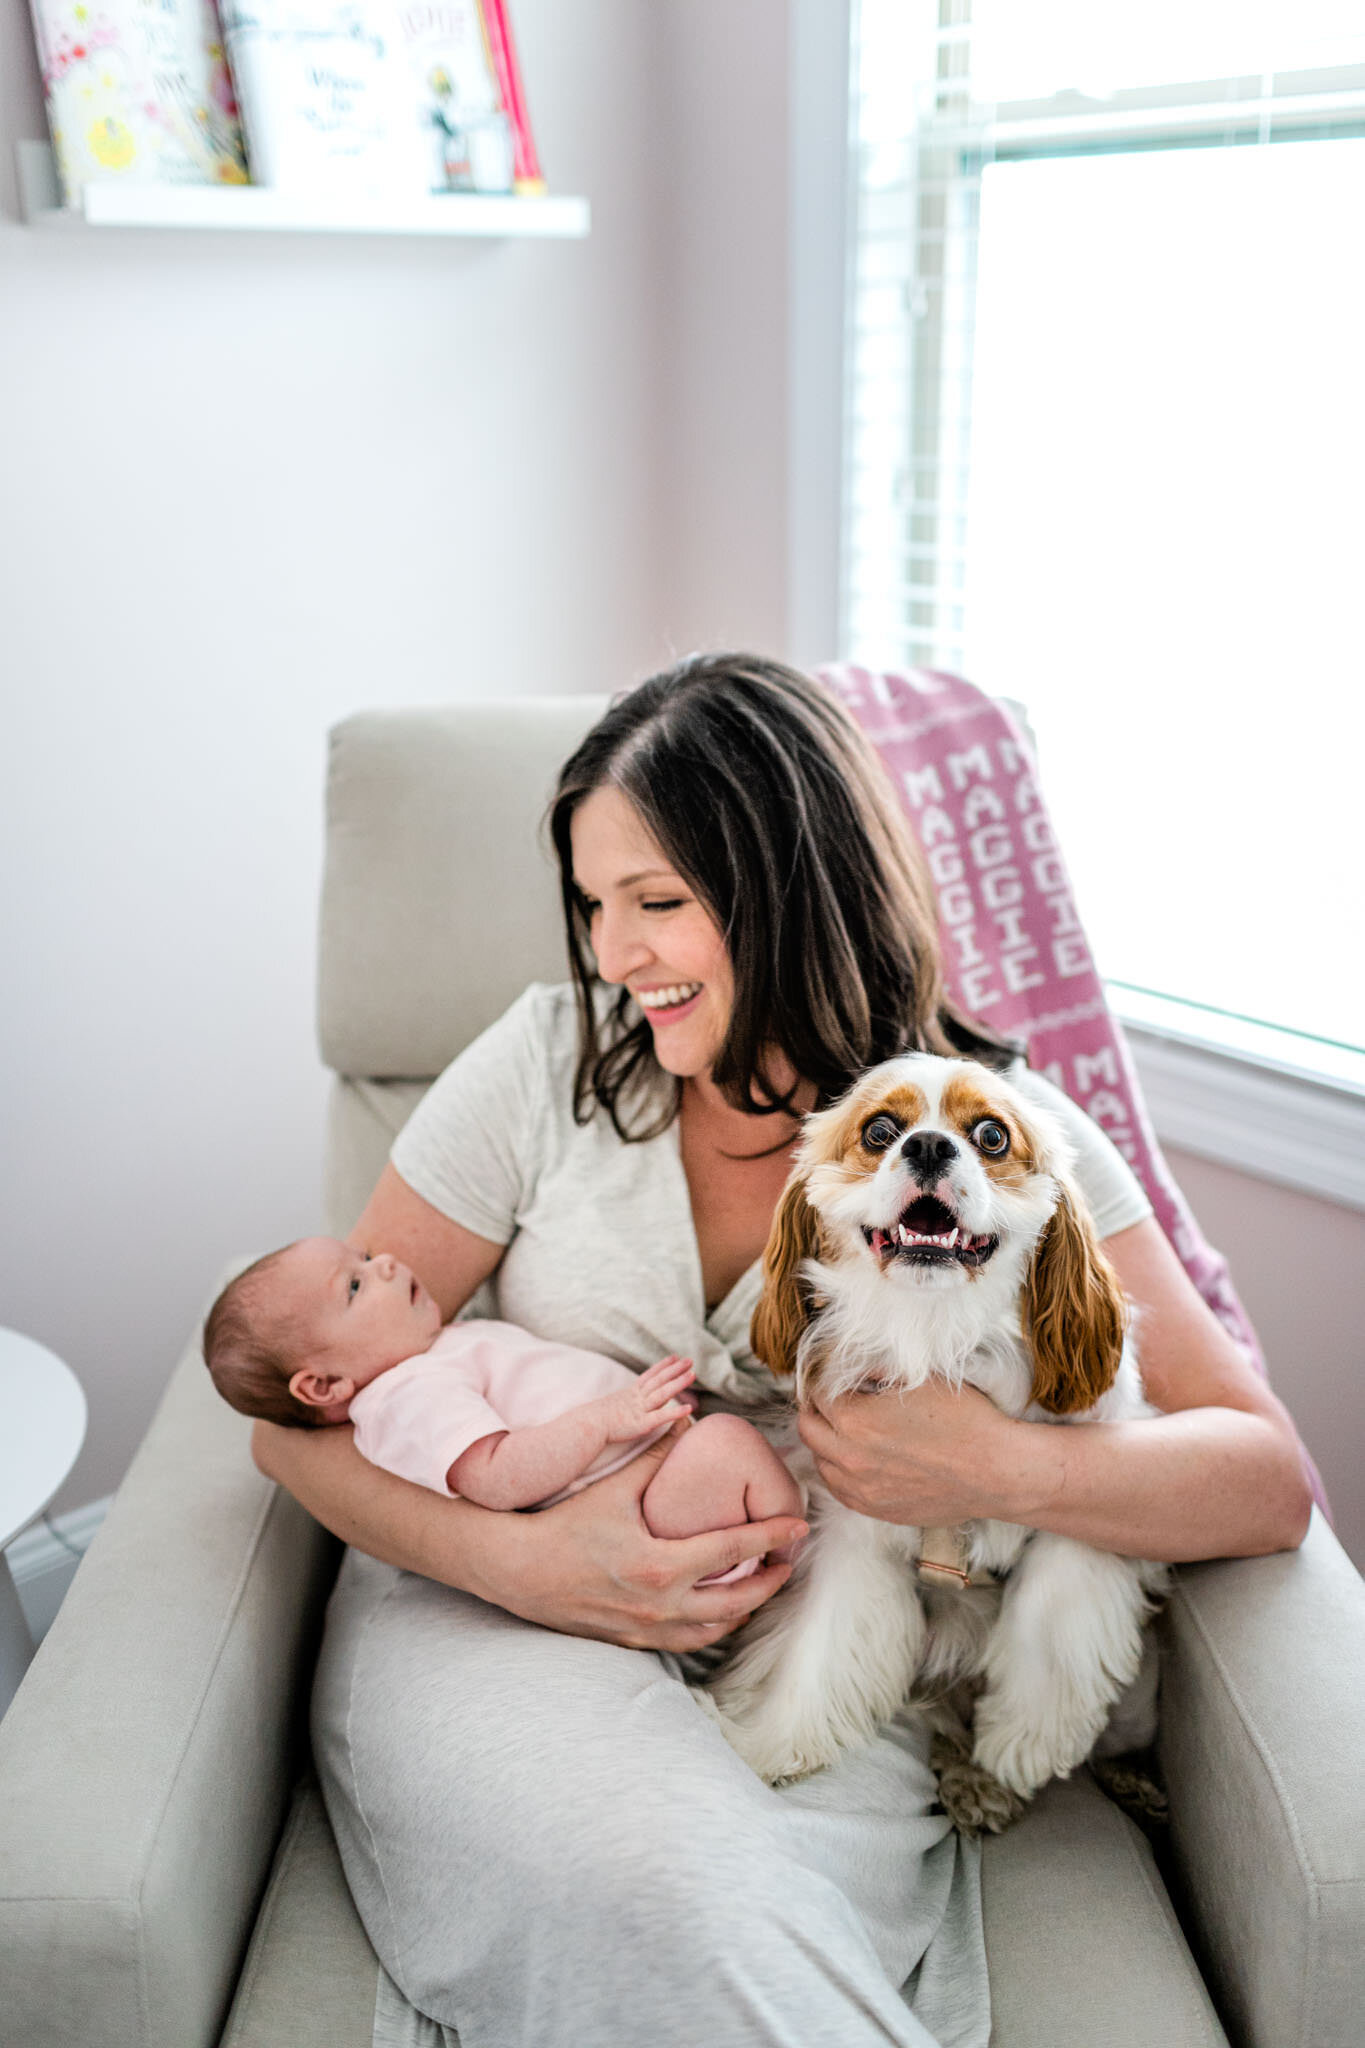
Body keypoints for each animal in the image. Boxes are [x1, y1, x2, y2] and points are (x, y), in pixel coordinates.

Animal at [703, 1048, 1162, 1818]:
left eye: (992, 1136)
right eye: (880, 1131)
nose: (926, 1146)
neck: (937, 1334)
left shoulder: (1086, 1511)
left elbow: (1050, 1622)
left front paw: (1019, 1742)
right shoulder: (855, 1535)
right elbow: (824, 1645)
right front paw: (776, 1742)